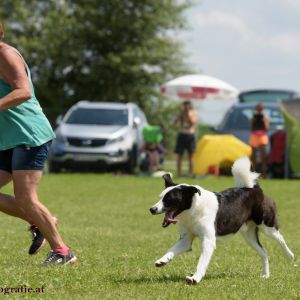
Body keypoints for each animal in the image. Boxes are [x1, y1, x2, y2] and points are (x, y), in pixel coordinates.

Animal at [149, 156, 294, 284]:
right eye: (161, 197)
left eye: (169, 199)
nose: (152, 209)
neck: (193, 210)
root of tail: (254, 188)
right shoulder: (185, 240)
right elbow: (171, 250)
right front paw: (162, 261)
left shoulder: (208, 241)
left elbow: (201, 262)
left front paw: (195, 278)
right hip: (249, 236)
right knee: (264, 253)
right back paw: (265, 275)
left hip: (267, 226)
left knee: (281, 238)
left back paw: (290, 256)